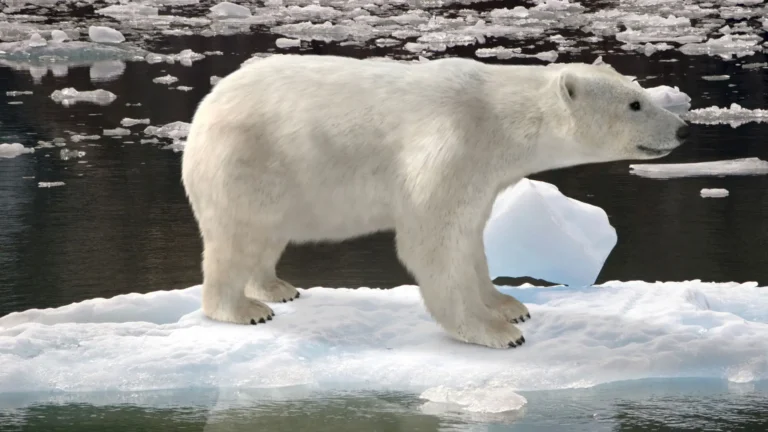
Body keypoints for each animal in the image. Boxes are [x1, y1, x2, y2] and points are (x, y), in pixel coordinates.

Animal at [181, 54, 689, 349]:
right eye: (636, 104)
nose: (683, 129)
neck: (500, 118)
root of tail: (205, 107)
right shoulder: (451, 143)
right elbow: (434, 242)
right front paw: (497, 332)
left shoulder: (482, 174)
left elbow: (471, 238)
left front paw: (507, 304)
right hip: (248, 159)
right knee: (238, 236)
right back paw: (244, 309)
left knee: (266, 235)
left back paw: (276, 287)